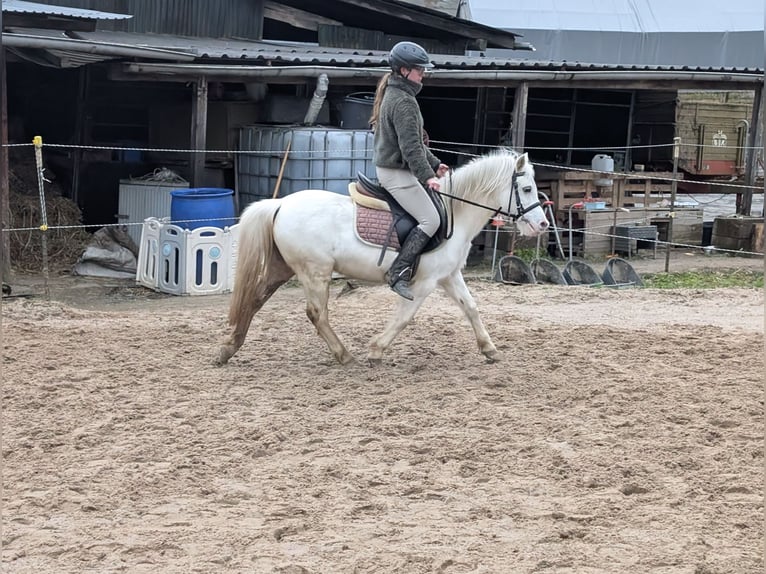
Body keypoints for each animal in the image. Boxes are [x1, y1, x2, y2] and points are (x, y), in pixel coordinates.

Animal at [217, 149, 549, 366]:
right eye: (527, 188)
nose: (543, 224)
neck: (455, 212)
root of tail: (281, 204)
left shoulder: (449, 276)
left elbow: (471, 308)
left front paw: (490, 349)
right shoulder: (424, 282)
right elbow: (404, 316)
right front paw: (376, 350)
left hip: (283, 268)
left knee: (255, 299)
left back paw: (228, 348)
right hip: (315, 272)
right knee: (316, 314)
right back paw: (344, 355)